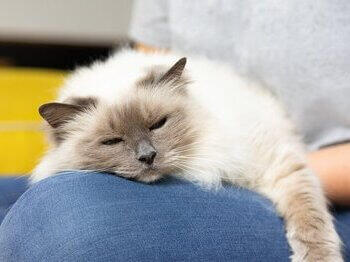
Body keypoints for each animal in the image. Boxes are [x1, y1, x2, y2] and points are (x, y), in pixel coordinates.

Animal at [32, 49, 342, 262]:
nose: (147, 156)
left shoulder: (280, 165)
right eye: (112, 141)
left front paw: (318, 258)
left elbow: (311, 221)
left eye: (158, 124)